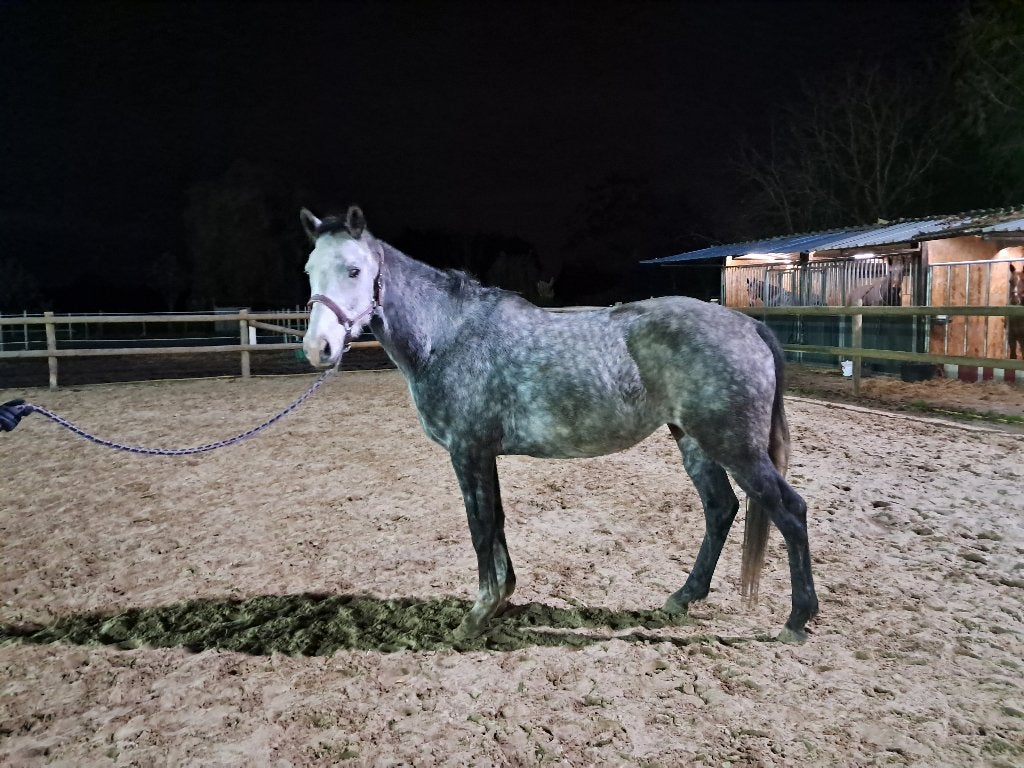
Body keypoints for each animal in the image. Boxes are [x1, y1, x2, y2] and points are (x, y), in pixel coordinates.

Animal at [301, 206, 818, 643]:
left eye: (354, 270)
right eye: (309, 270)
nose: (318, 348)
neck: (448, 336)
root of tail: (748, 325)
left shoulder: (467, 451)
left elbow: (480, 526)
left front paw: (476, 616)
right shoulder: (484, 454)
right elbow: (497, 521)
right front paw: (502, 599)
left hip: (735, 447)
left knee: (790, 511)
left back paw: (797, 620)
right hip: (694, 440)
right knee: (720, 509)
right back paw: (683, 597)